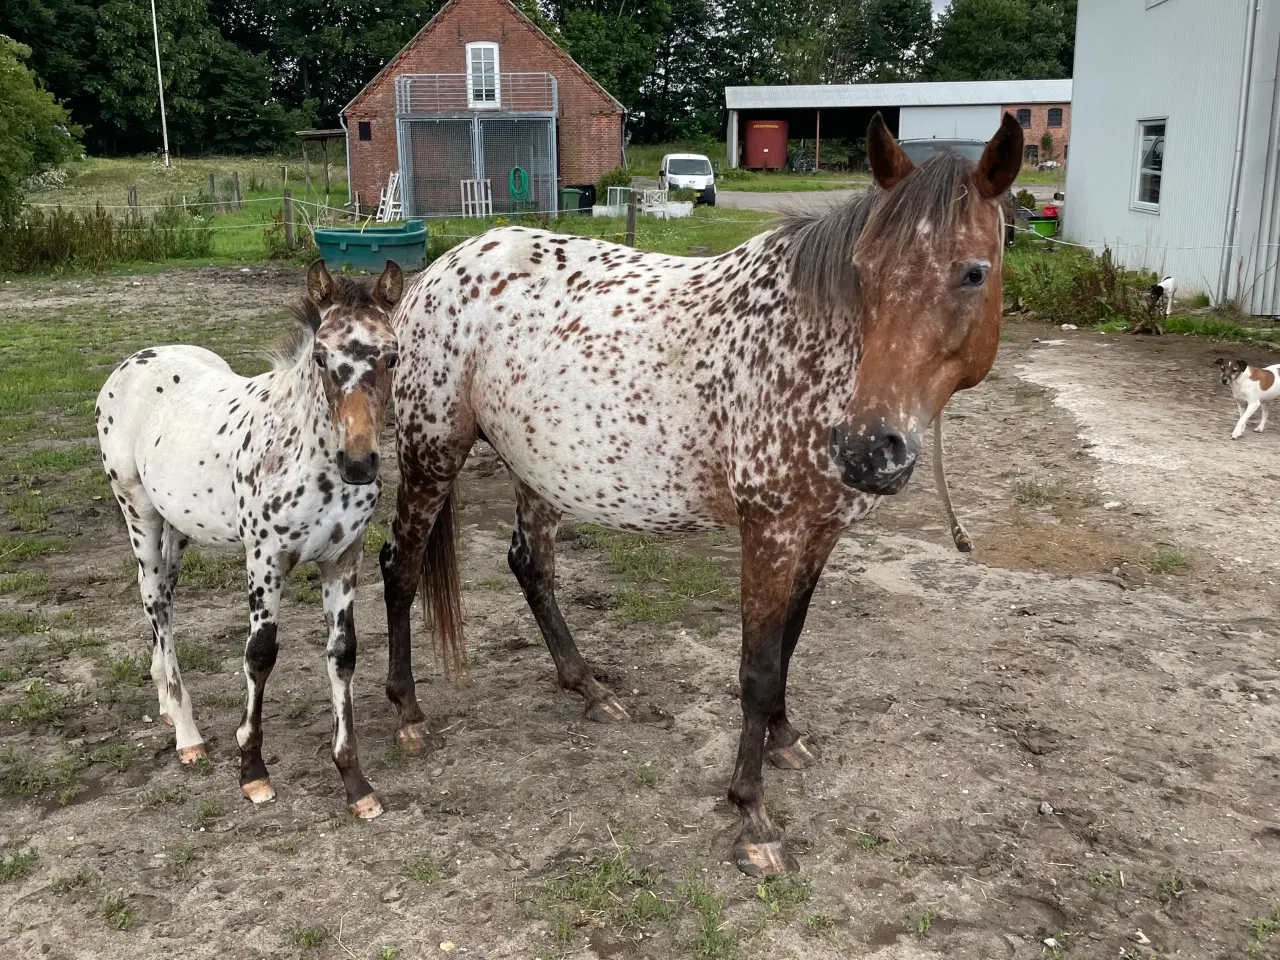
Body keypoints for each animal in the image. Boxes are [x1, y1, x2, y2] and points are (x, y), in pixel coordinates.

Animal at [95, 263, 401, 819]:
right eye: (320, 356)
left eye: (392, 356)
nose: (359, 464)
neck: (304, 452)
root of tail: (134, 360)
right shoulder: (265, 560)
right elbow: (259, 654)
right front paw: (253, 772)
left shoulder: (344, 559)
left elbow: (342, 654)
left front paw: (355, 783)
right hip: (139, 514)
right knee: (154, 602)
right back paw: (188, 735)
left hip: (179, 529)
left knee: (165, 599)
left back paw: (167, 704)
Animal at [376, 116, 1018, 875]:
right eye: (863, 273)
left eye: (974, 273)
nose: (868, 449)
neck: (815, 354)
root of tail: (436, 272)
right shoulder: (769, 530)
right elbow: (758, 667)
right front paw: (751, 814)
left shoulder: (820, 532)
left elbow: (788, 643)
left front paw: (784, 739)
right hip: (430, 454)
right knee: (400, 570)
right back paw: (409, 715)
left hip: (537, 468)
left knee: (529, 566)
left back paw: (589, 688)